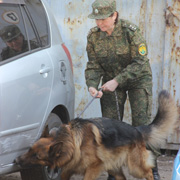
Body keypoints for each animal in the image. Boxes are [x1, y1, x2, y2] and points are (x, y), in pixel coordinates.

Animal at [15, 90, 179, 179]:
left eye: (37, 157)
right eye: (29, 149)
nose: (16, 160)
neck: (71, 141)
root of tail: (136, 130)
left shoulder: (93, 168)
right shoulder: (67, 170)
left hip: (135, 168)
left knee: (149, 172)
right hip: (114, 167)